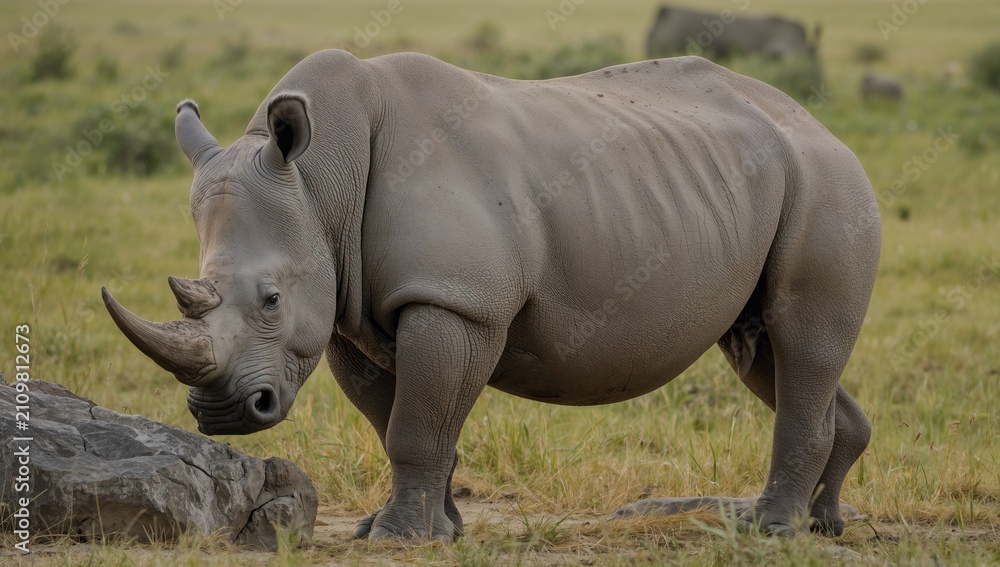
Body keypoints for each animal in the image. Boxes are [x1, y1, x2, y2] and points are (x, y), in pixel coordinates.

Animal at [102, 49, 880, 541]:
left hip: (828, 184)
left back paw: (772, 529)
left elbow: (417, 424)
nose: (224, 413)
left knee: (801, 339)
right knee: (765, 352)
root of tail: (822, 126)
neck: (321, 182)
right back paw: (824, 523)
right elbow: (403, 421)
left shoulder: (455, 300)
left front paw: (398, 537)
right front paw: (436, 530)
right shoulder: (352, 310)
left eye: (269, 298)